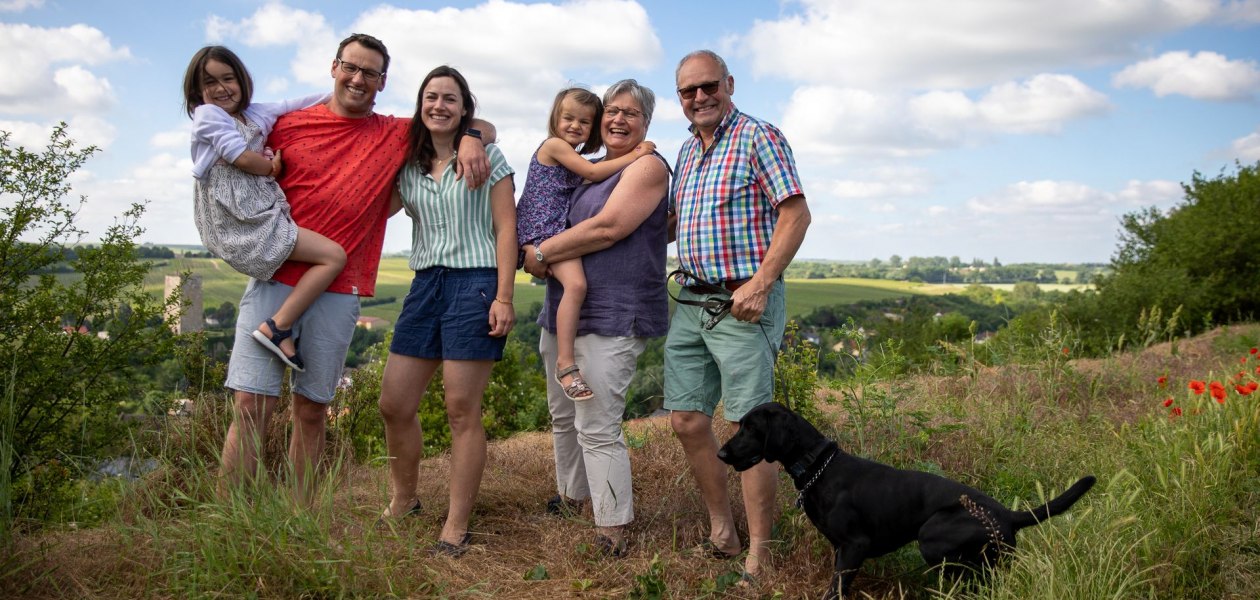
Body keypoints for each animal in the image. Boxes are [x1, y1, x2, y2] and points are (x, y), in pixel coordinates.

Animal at [720, 400, 1093, 597]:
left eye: (750, 428)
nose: (722, 453)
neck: (817, 466)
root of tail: (1007, 514)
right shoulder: (841, 549)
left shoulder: (855, 546)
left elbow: (835, 588)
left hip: (932, 539)